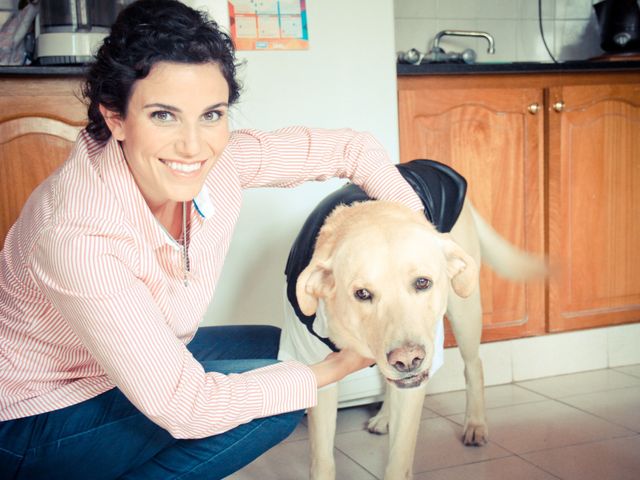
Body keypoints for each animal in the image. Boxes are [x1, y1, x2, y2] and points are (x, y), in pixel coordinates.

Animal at [278, 160, 544, 476]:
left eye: (422, 283)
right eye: (362, 293)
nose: (408, 360)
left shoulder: (417, 381)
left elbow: (399, 459)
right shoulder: (318, 371)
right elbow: (321, 459)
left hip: (464, 310)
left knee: (474, 366)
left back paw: (476, 424)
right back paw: (384, 416)